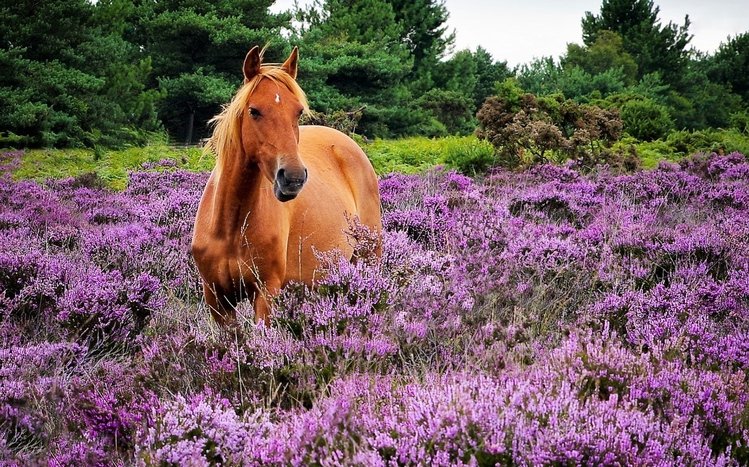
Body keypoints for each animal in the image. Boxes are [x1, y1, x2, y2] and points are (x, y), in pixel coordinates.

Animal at [191, 46, 382, 326]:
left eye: (298, 111)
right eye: (254, 111)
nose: (292, 178)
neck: (229, 226)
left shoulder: (266, 293)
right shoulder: (217, 299)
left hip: (366, 261)